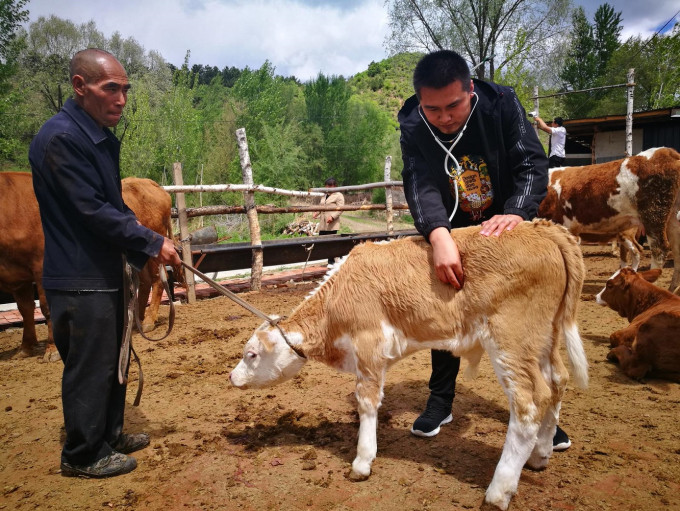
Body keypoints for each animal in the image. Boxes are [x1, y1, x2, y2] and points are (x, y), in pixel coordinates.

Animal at [0, 174, 178, 362]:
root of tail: (150, 183)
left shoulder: (40, 266)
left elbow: (46, 308)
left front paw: (52, 350)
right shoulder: (19, 278)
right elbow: (25, 309)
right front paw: (25, 347)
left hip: (154, 250)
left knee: (157, 279)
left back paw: (149, 320)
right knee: (145, 283)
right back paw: (139, 321)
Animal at [230, 220, 588, 511]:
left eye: (252, 354)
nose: (231, 377)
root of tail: (542, 229)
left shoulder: (368, 345)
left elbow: (366, 402)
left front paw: (362, 461)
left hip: (511, 340)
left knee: (529, 404)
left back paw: (499, 491)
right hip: (543, 339)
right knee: (557, 382)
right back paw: (541, 454)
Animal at [540, 148, 680, 292]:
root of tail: (666, 152)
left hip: (653, 217)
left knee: (659, 250)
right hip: (671, 220)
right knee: (676, 250)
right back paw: (672, 289)